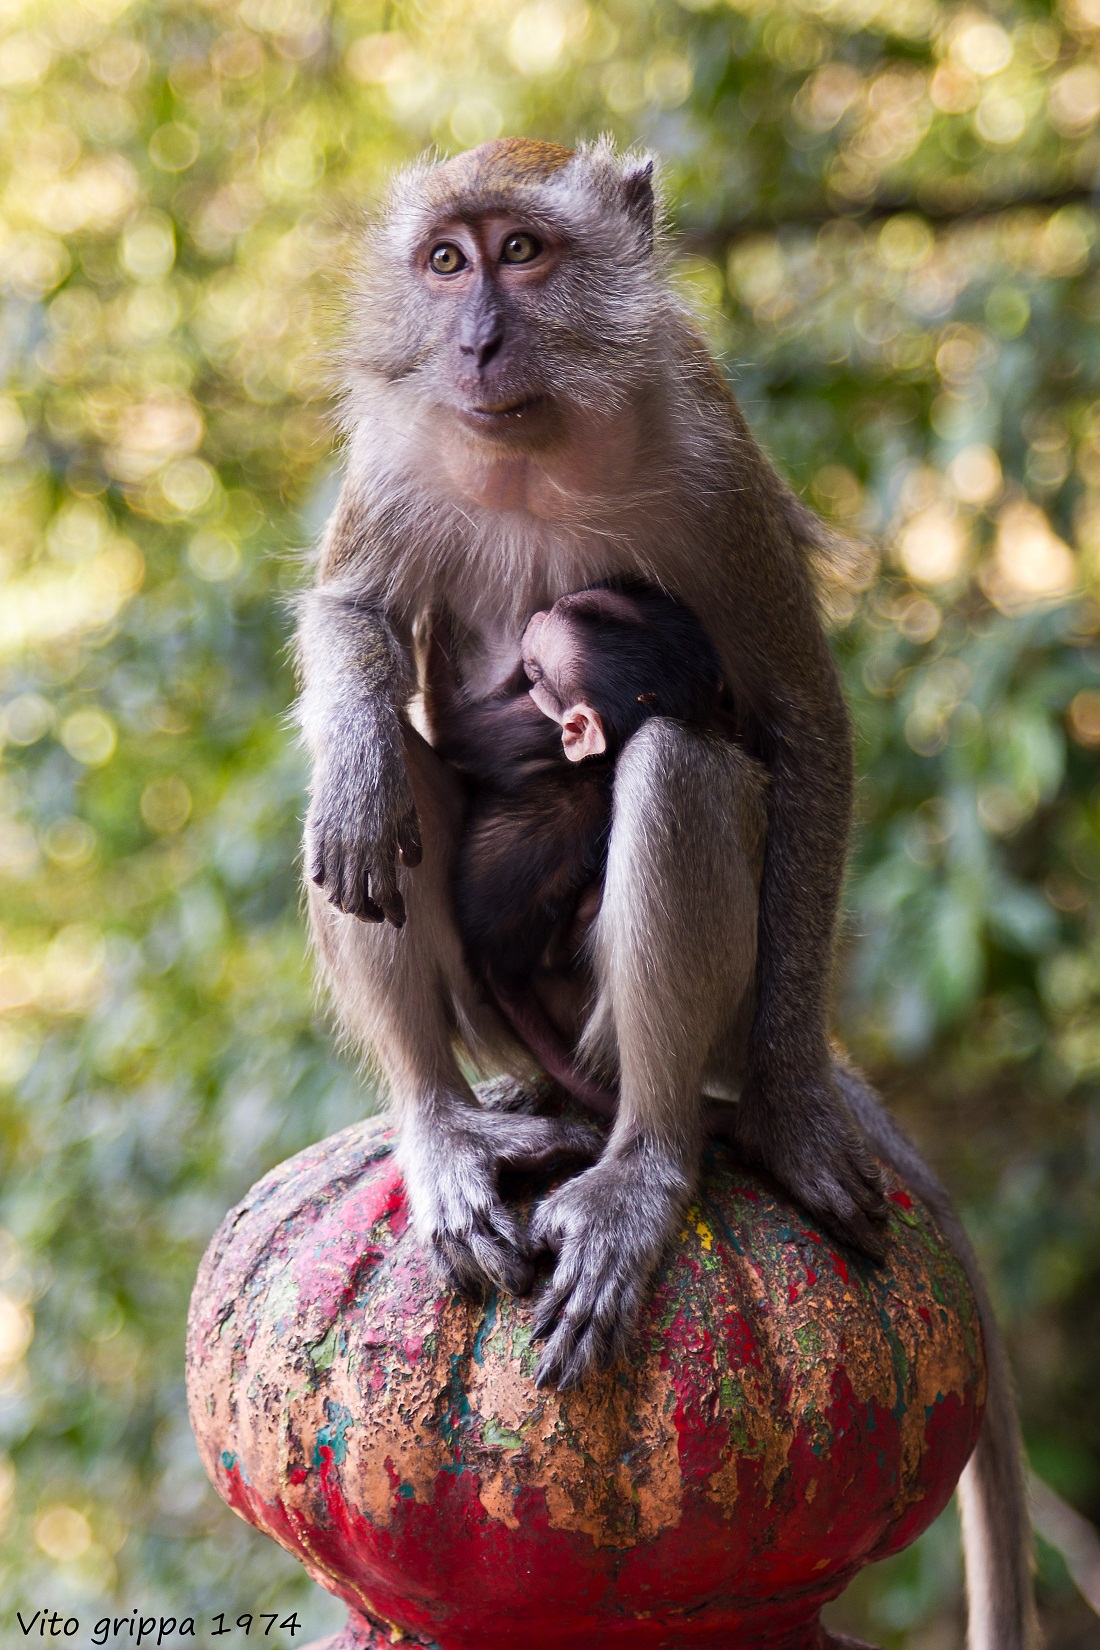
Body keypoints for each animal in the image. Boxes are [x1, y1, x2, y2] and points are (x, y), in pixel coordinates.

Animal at [295, 140, 1035, 1646]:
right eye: (445, 262)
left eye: (523, 252)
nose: (475, 338)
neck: (536, 441)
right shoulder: (398, 451)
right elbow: (350, 621)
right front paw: (353, 758)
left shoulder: (713, 467)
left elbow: (802, 721)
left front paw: (797, 1111)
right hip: (495, 1013)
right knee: (389, 791)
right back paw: (443, 1121)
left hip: (646, 1018)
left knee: (682, 767)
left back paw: (644, 1161)